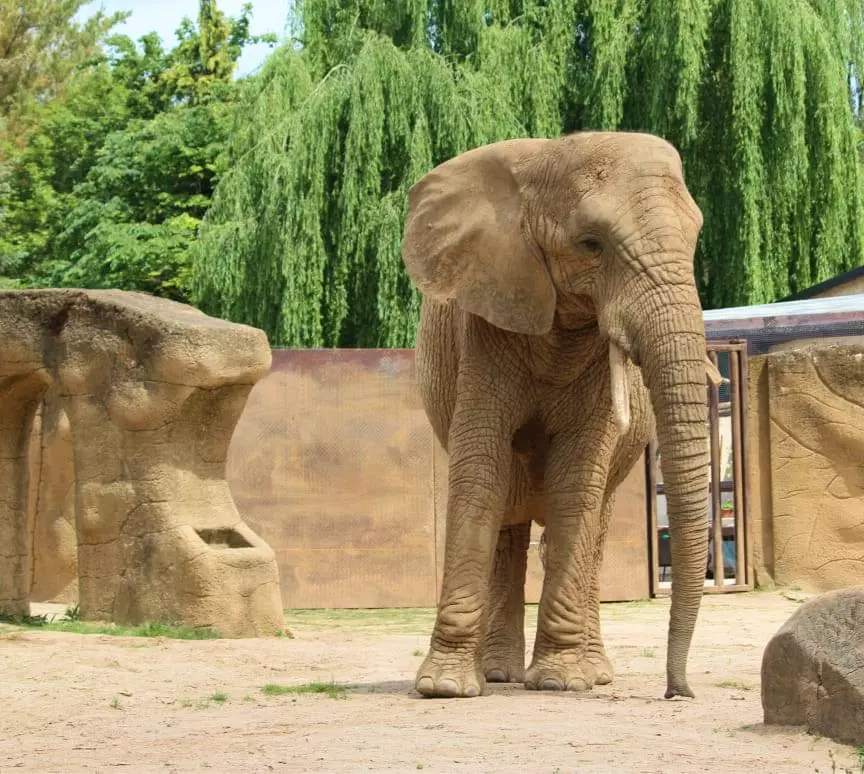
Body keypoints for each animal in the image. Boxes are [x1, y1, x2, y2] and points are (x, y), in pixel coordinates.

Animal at [400, 131, 722, 700]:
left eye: (694, 238)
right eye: (592, 244)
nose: (677, 691)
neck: (547, 159)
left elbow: (576, 481)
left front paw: (561, 681)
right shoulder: (484, 320)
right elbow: (480, 470)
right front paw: (444, 688)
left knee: (592, 526)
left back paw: (590, 673)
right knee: (508, 525)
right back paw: (498, 674)